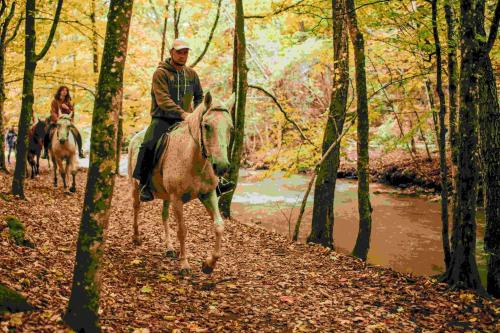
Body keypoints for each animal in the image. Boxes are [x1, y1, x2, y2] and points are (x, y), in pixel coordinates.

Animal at [127, 92, 232, 274]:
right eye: (206, 126)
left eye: (230, 128)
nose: (221, 166)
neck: (193, 160)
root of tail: (135, 137)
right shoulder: (177, 199)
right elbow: (182, 230)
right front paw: (184, 264)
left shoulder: (208, 194)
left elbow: (219, 225)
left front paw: (208, 265)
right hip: (136, 187)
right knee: (136, 207)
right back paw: (136, 237)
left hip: (166, 196)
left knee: (164, 216)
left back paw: (169, 248)